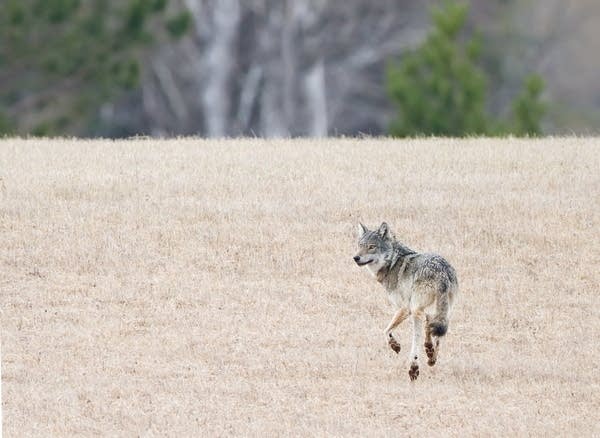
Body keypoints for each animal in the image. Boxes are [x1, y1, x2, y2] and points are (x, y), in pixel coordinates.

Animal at [354, 222, 458, 380]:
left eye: (372, 246)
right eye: (360, 245)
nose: (356, 257)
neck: (392, 263)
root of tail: (442, 271)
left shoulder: (404, 308)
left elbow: (386, 330)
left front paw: (395, 346)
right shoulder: (421, 310)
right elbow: (429, 325)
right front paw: (429, 350)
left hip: (415, 311)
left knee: (417, 337)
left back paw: (414, 367)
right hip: (443, 311)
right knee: (439, 331)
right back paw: (432, 357)